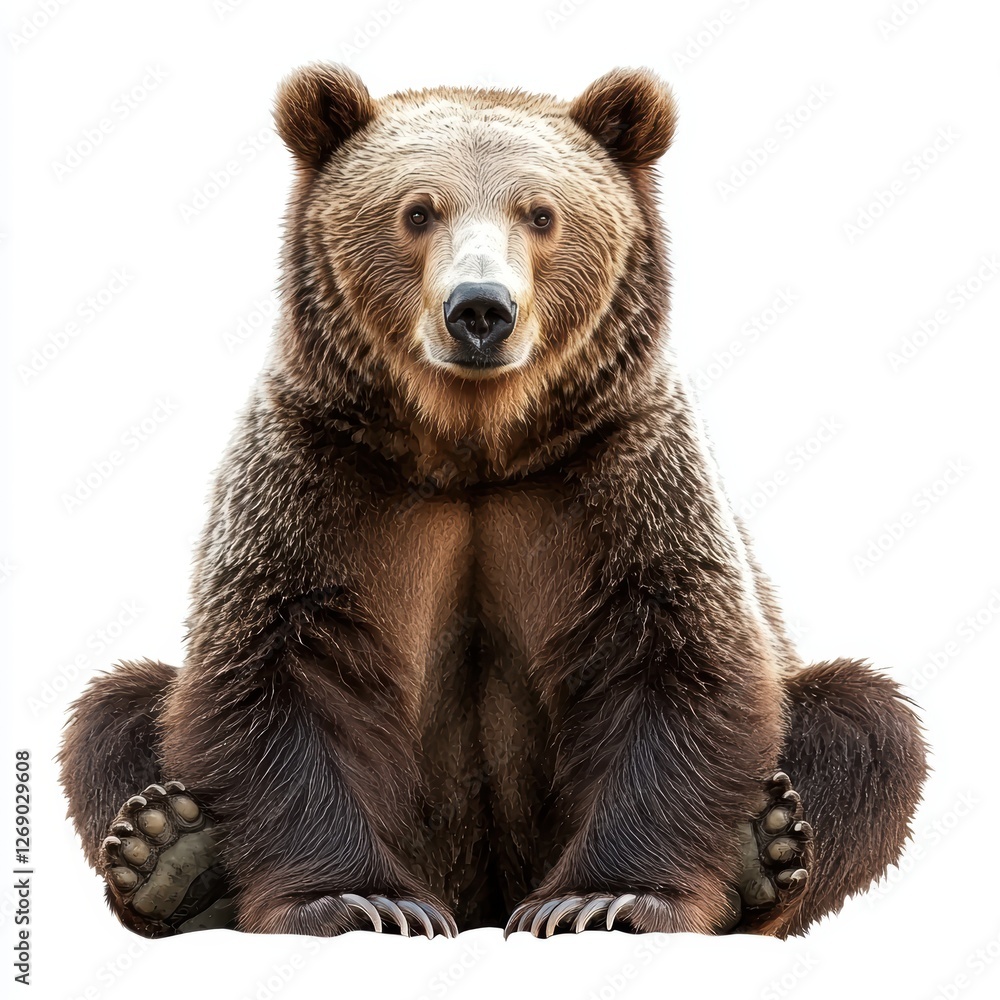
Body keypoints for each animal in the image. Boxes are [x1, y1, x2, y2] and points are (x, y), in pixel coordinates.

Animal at [59, 64, 927, 940]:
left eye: (540, 212)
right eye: (417, 210)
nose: (480, 308)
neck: (473, 448)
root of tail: (482, 892)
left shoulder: (619, 473)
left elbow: (677, 659)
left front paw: (601, 899)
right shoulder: (317, 473)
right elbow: (275, 669)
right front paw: (363, 901)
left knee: (864, 723)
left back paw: (766, 847)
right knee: (116, 710)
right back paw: (169, 851)